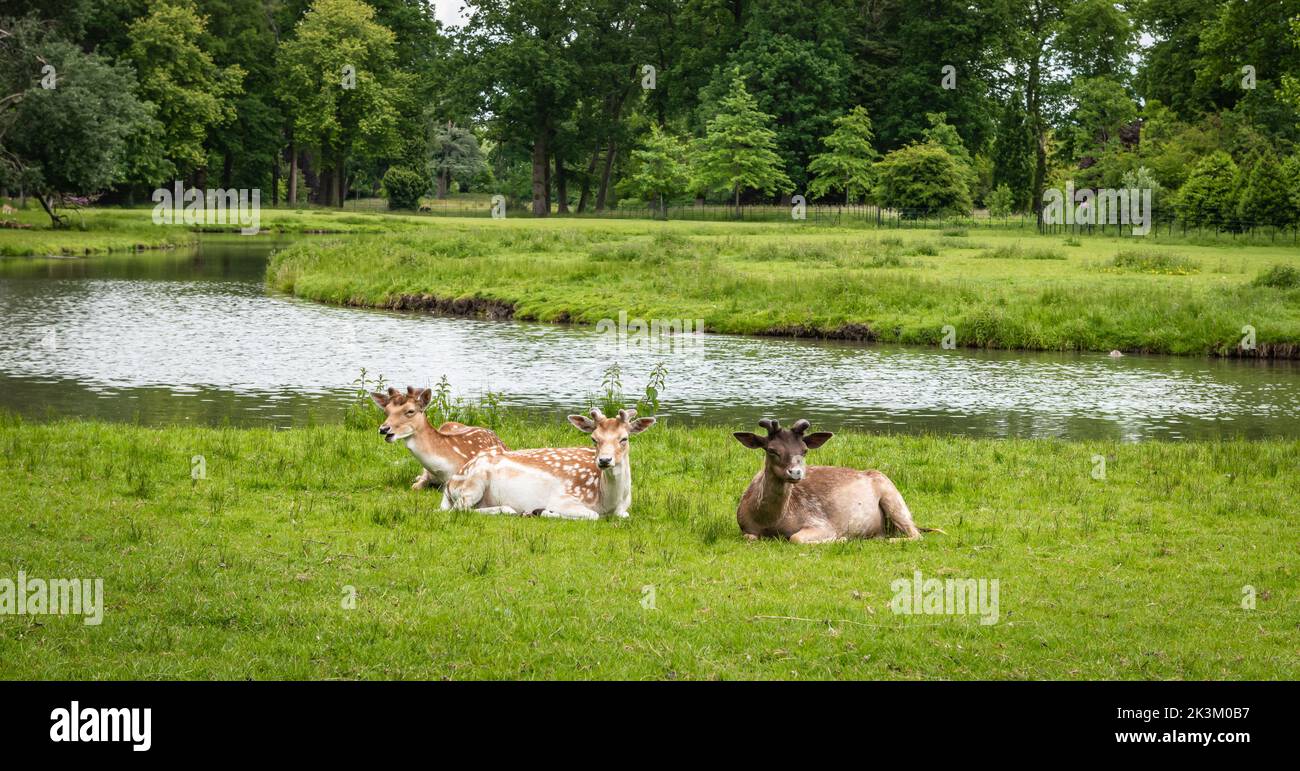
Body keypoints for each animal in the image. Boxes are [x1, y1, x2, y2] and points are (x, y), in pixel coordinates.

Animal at [371, 386, 508, 490]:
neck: (442, 470)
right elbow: (415, 486)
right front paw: (417, 480)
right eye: (386, 411)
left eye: (410, 411)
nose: (383, 429)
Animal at [440, 408, 655, 520]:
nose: (604, 460)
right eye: (594, 439)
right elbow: (592, 515)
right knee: (457, 510)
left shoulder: (624, 509)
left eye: (624, 438)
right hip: (474, 483)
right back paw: (511, 510)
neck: (608, 501)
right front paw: (543, 511)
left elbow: (624, 515)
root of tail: (449, 484)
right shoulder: (563, 498)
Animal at [732, 418, 942, 544]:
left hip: (893, 495)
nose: (796, 472)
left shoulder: (819, 521)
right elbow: (750, 537)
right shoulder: (745, 527)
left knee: (916, 534)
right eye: (772, 450)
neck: (769, 521)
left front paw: (841, 538)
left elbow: (795, 538)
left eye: (804, 450)